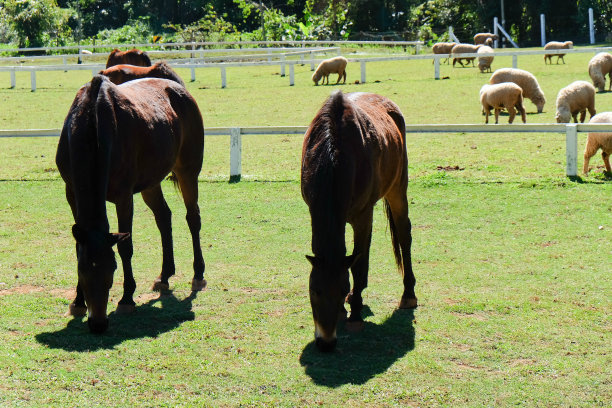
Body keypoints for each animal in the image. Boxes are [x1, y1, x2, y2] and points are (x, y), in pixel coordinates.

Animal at [54, 75, 204, 334]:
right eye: (83, 270)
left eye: (112, 268)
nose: (98, 324)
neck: (92, 123)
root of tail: (179, 90)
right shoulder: (71, 193)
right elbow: (78, 247)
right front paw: (78, 301)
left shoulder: (124, 197)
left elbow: (126, 246)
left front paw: (126, 299)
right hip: (151, 183)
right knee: (164, 217)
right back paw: (165, 276)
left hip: (188, 171)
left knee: (193, 218)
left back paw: (198, 274)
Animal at [300, 91, 416, 350]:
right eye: (315, 290)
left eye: (341, 288)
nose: (326, 343)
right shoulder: (315, 211)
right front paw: (350, 306)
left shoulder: (363, 216)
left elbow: (359, 264)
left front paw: (353, 314)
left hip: (397, 187)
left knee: (404, 235)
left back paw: (408, 295)